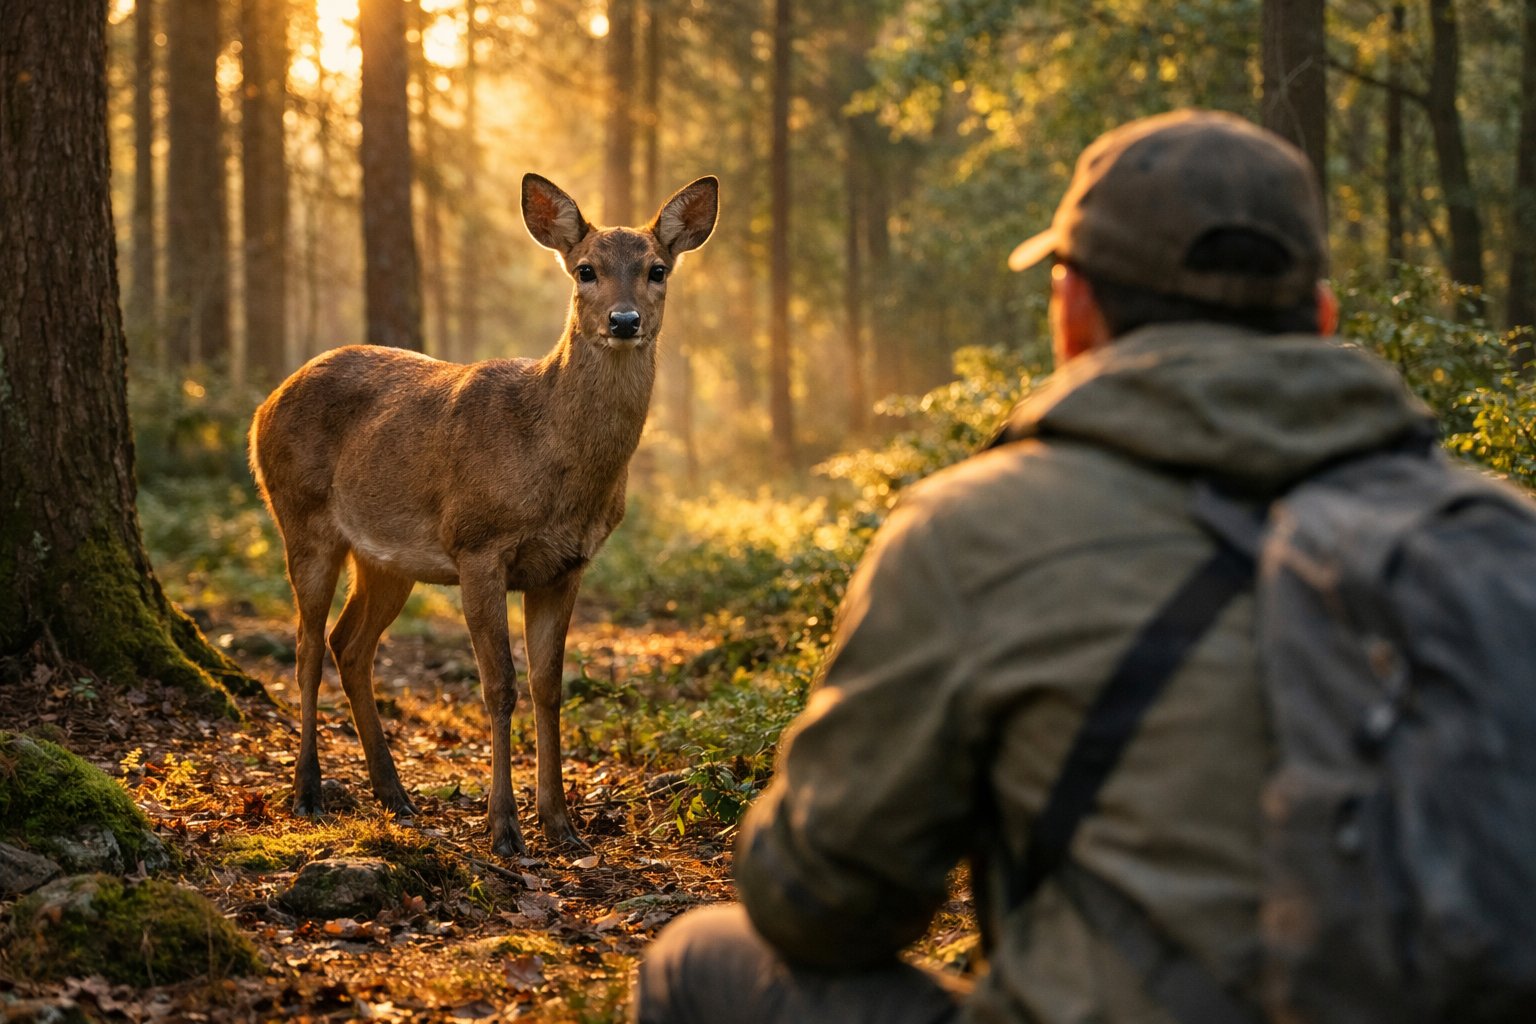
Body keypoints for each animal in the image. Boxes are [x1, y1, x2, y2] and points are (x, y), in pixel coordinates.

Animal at [248, 174, 719, 856]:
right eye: (586, 270)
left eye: (658, 268)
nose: (624, 320)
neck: (554, 461)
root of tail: (262, 407)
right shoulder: (477, 543)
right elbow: (499, 687)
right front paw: (504, 828)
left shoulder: (566, 564)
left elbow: (549, 686)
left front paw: (562, 824)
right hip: (301, 515)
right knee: (308, 645)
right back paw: (308, 791)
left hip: (387, 557)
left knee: (349, 644)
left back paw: (394, 794)